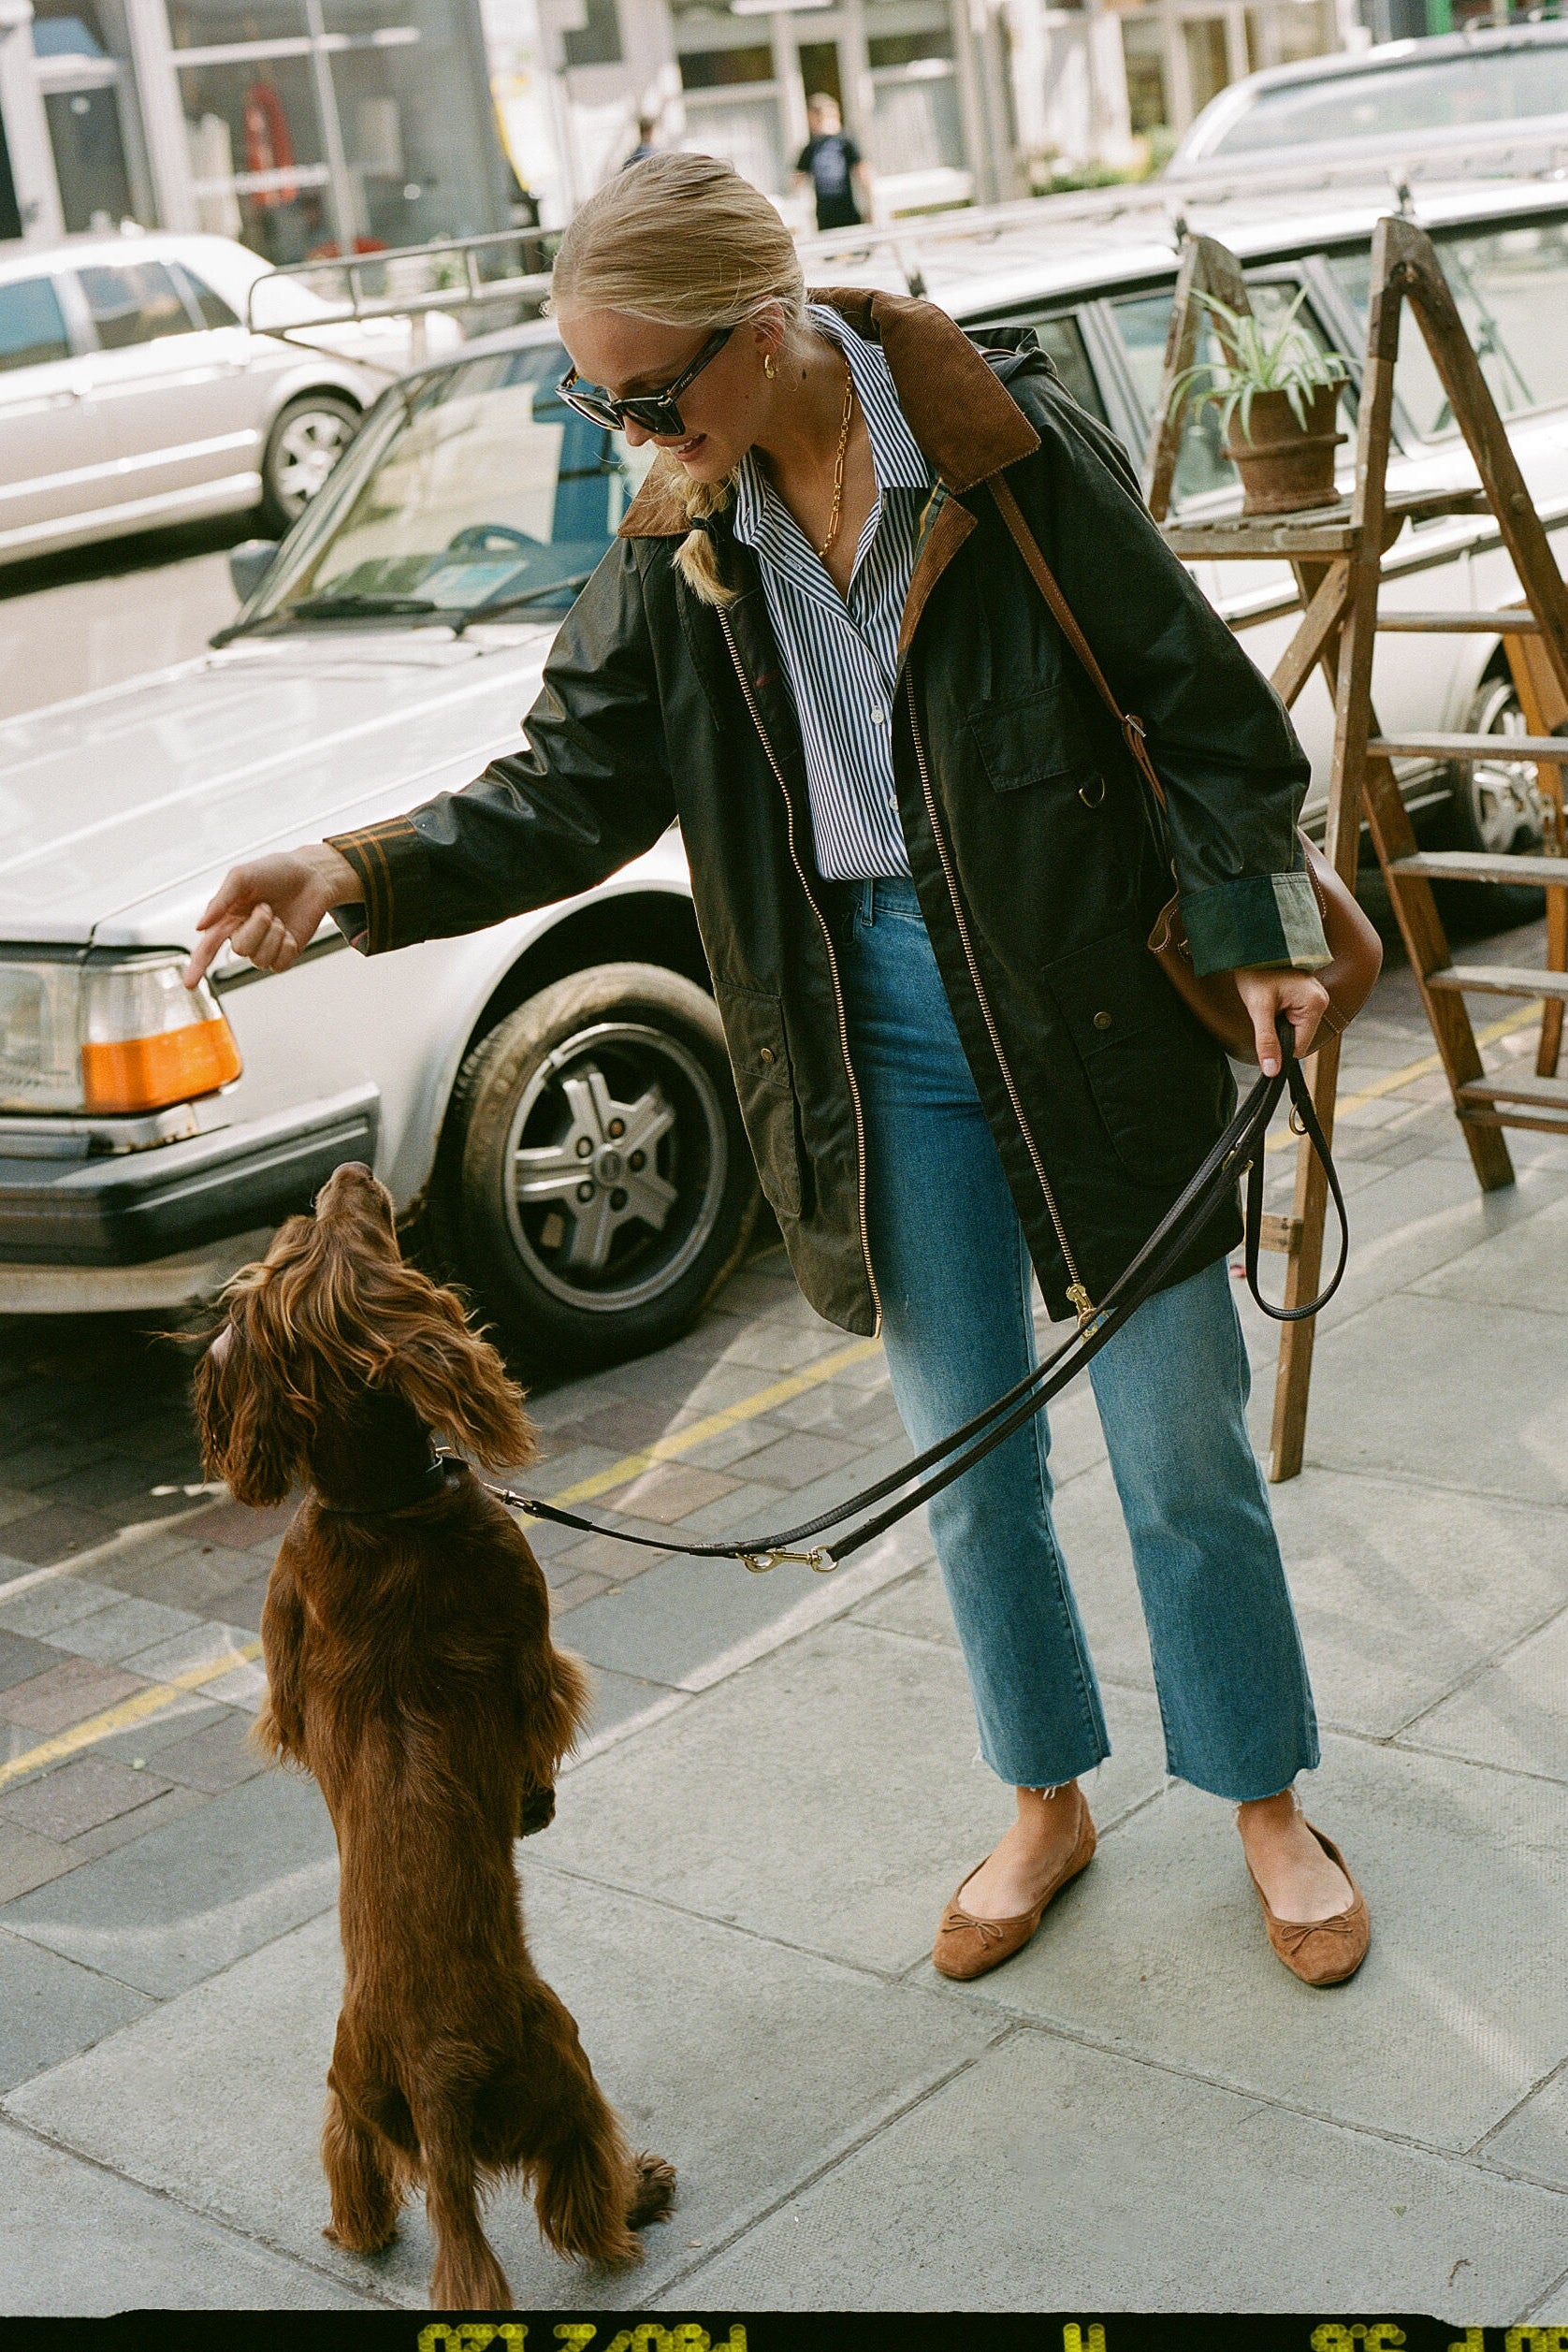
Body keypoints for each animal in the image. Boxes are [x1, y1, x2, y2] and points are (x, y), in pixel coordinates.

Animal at [196, 1166, 676, 2304]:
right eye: (332, 1228)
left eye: (301, 1234)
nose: (347, 1173)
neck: (381, 1508)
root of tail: (434, 2082)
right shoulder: (536, 1650)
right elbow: (542, 1720)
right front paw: (536, 1803)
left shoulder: (284, 1663)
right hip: (567, 2063)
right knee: (579, 2202)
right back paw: (637, 2195)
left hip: (347, 2093)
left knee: (356, 2169)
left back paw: (355, 2232)